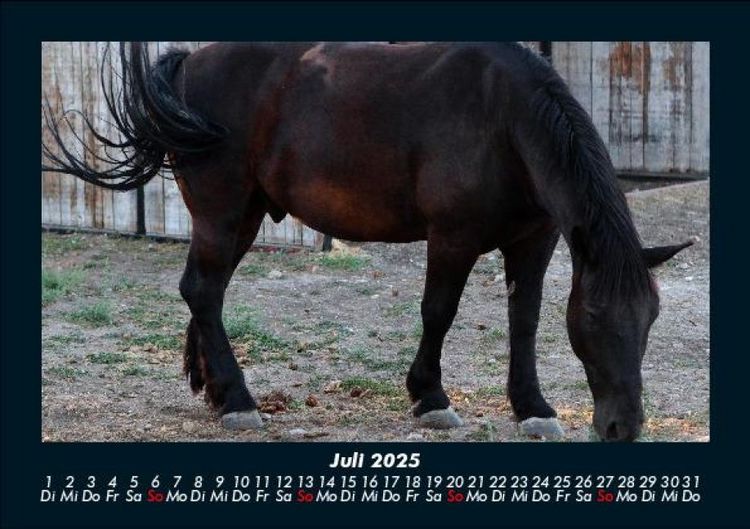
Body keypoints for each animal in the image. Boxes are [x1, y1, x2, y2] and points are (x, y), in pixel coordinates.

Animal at [42, 42, 692, 441]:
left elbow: (525, 321)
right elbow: (438, 312)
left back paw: (214, 390)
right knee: (202, 289)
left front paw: (532, 408)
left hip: (242, 217)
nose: (623, 428)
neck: (503, 119)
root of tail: (187, 65)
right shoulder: (451, 238)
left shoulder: (536, 241)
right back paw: (239, 401)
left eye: (650, 319)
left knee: (206, 291)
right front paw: (430, 398)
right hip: (223, 213)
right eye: (596, 318)